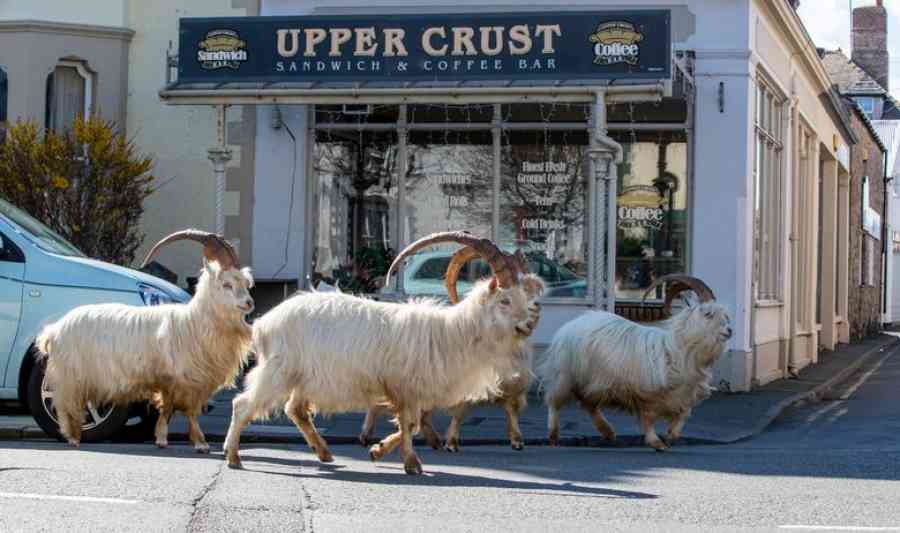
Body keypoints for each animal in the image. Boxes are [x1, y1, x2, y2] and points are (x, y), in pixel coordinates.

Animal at [35, 231, 253, 450]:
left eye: (245, 284)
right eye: (226, 284)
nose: (249, 303)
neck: (194, 322)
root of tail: (55, 329)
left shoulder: (187, 381)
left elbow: (179, 409)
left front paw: (177, 440)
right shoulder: (177, 379)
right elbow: (178, 409)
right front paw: (188, 442)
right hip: (71, 374)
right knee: (65, 403)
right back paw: (71, 437)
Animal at [360, 244, 548, 448]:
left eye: (529, 293)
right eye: (504, 300)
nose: (530, 322)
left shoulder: (510, 384)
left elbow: (511, 408)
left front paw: (517, 440)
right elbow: (457, 411)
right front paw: (450, 443)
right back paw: (367, 435)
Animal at [536, 276, 732, 450]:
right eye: (708, 313)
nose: (729, 331)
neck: (679, 349)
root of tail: (572, 323)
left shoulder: (683, 396)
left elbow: (683, 416)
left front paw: (670, 436)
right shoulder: (647, 394)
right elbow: (647, 418)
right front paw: (656, 443)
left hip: (591, 383)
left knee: (588, 404)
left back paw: (608, 432)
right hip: (565, 375)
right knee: (554, 401)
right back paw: (553, 436)